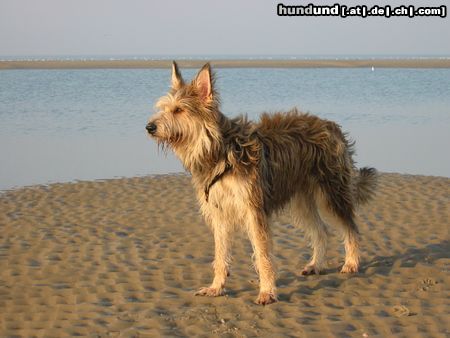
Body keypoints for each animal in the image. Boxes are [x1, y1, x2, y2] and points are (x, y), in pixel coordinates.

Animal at [147, 62, 376, 304]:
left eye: (178, 110)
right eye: (164, 108)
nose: (149, 127)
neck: (220, 152)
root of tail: (332, 126)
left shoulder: (253, 209)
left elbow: (263, 254)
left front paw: (267, 291)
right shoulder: (220, 213)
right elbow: (220, 254)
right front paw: (216, 287)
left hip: (331, 192)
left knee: (350, 228)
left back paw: (351, 262)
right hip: (301, 200)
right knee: (321, 231)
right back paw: (316, 264)